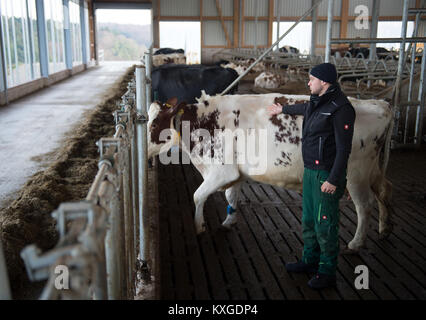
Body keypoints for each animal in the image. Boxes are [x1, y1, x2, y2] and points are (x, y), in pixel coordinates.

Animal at [146, 91, 392, 251]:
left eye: (155, 123)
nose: (144, 150)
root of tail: (379, 104)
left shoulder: (222, 171)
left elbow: (198, 196)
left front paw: (199, 226)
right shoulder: (236, 173)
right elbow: (231, 196)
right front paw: (228, 222)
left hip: (355, 175)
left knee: (364, 206)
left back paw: (356, 243)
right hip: (373, 171)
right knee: (383, 192)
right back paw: (383, 229)